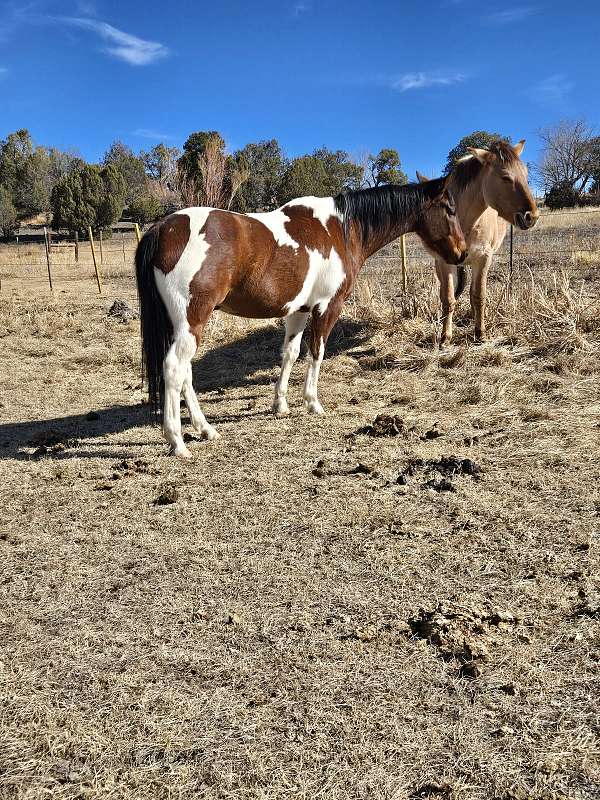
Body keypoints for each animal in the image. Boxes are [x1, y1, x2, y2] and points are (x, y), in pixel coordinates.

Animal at [137, 179, 468, 460]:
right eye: (450, 210)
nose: (463, 253)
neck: (340, 229)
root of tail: (162, 228)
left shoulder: (298, 310)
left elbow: (291, 353)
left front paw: (280, 405)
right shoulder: (328, 307)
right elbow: (316, 352)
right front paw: (313, 402)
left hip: (182, 325)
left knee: (186, 374)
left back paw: (205, 429)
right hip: (191, 321)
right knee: (174, 369)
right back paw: (177, 441)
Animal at [418, 138, 540, 350]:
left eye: (525, 174)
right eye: (505, 177)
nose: (531, 216)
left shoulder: (483, 258)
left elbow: (479, 296)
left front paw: (480, 333)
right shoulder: (444, 262)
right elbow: (448, 299)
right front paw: (445, 337)